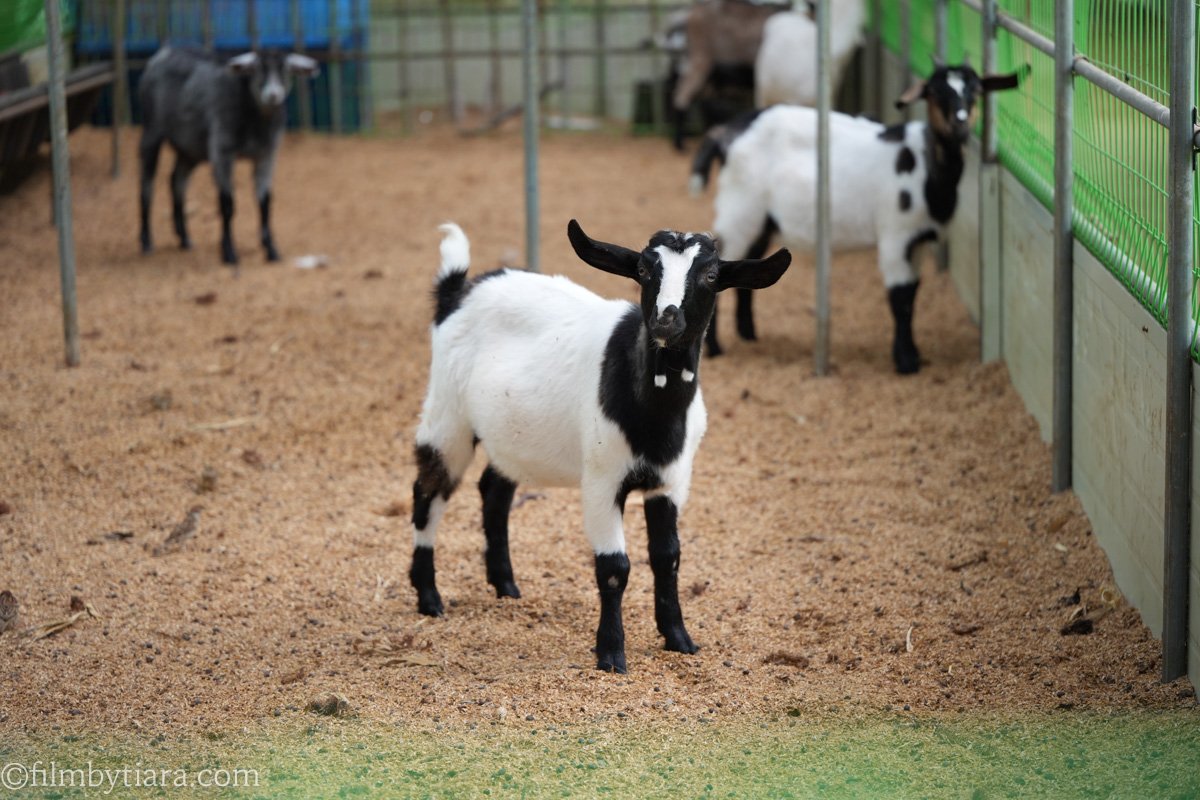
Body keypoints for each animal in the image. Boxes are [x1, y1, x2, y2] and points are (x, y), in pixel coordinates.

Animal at [138, 46, 318, 267]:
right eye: (257, 68)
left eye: (285, 69)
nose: (273, 95)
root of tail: (163, 53)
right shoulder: (222, 152)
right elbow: (227, 204)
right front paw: (229, 252)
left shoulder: (266, 155)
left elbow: (265, 202)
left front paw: (271, 250)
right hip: (152, 130)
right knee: (147, 183)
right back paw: (146, 241)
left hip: (190, 148)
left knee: (177, 180)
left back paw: (184, 238)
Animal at [408, 221, 790, 673]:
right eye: (643, 270)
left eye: (711, 275)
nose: (665, 319)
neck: (655, 415)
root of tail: (459, 290)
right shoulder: (602, 479)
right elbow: (614, 567)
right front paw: (611, 654)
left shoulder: (672, 481)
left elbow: (668, 557)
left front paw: (679, 639)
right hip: (448, 411)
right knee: (429, 491)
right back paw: (429, 597)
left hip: (510, 434)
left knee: (494, 491)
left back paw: (505, 585)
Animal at [696, 64, 1020, 371]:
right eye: (935, 92)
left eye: (975, 90)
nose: (960, 122)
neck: (927, 168)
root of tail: (726, 134)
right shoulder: (895, 234)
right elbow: (901, 298)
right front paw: (906, 362)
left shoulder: (916, 240)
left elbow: (912, 294)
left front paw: (912, 354)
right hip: (739, 209)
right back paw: (714, 349)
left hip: (760, 220)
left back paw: (749, 336)